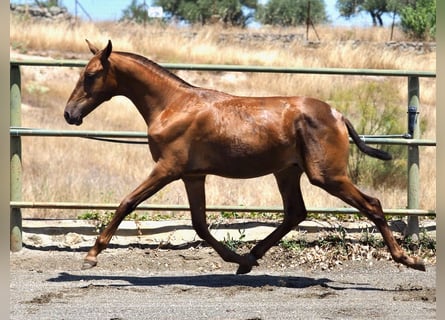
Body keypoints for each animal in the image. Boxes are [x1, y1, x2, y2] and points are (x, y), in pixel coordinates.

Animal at [63, 40, 424, 274]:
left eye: (91, 75)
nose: (70, 114)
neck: (173, 105)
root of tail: (338, 115)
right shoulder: (193, 175)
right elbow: (200, 224)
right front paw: (239, 260)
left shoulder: (167, 168)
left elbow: (127, 202)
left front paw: (92, 254)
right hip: (288, 172)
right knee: (295, 213)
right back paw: (252, 256)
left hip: (327, 175)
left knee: (371, 205)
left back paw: (409, 259)